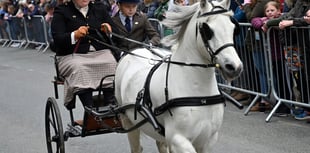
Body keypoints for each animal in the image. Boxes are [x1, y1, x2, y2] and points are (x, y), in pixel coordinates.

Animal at [114, 0, 242, 152]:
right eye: (207, 29)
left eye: (233, 28)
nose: (234, 67)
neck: (199, 94)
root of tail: (135, 50)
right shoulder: (178, 140)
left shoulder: (209, 139)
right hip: (127, 120)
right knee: (136, 147)